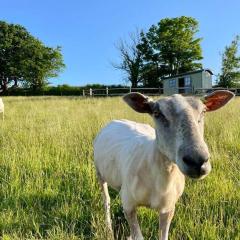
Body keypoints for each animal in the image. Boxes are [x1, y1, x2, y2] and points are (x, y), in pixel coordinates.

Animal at [94, 90, 234, 240]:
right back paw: (108, 228)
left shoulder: (168, 208)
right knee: (106, 200)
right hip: (100, 173)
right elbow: (139, 236)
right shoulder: (128, 204)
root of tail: (117, 120)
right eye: (157, 113)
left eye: (204, 111)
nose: (198, 161)